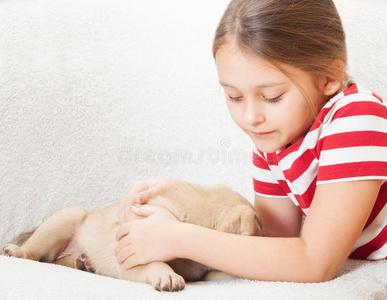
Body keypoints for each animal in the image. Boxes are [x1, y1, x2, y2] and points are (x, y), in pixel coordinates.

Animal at [1, 182, 262, 292]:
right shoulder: (131, 253)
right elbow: (153, 261)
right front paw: (166, 275)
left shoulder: (210, 271)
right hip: (69, 216)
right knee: (36, 254)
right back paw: (18, 251)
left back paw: (84, 262)